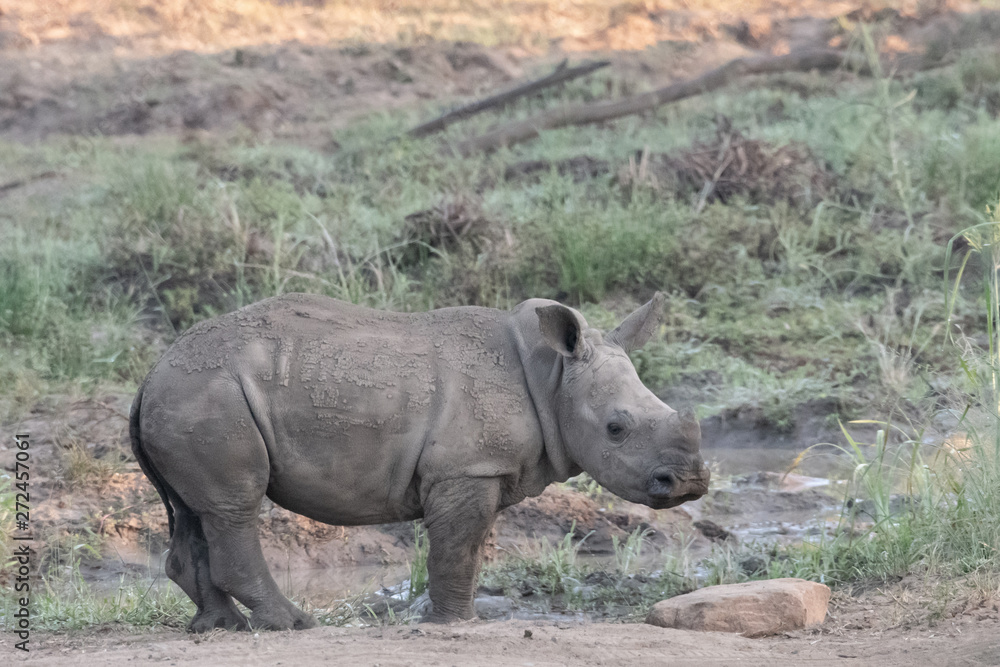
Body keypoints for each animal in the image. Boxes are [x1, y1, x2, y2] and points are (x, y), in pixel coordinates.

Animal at [129, 292, 710, 632]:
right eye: (616, 429)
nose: (689, 482)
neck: (552, 379)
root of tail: (150, 374)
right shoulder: (467, 469)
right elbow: (458, 549)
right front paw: (455, 624)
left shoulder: (478, 470)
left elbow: (466, 550)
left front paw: (456, 618)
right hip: (209, 395)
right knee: (236, 507)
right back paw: (295, 624)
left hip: (194, 396)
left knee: (197, 511)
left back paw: (219, 626)